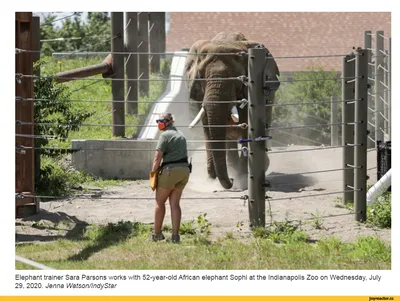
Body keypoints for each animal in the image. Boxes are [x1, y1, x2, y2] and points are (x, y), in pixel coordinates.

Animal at [184, 31, 280, 189]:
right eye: (201, 76)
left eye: (236, 78)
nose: (231, 181)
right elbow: (208, 128)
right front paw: (212, 181)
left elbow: (247, 126)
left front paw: (243, 181)